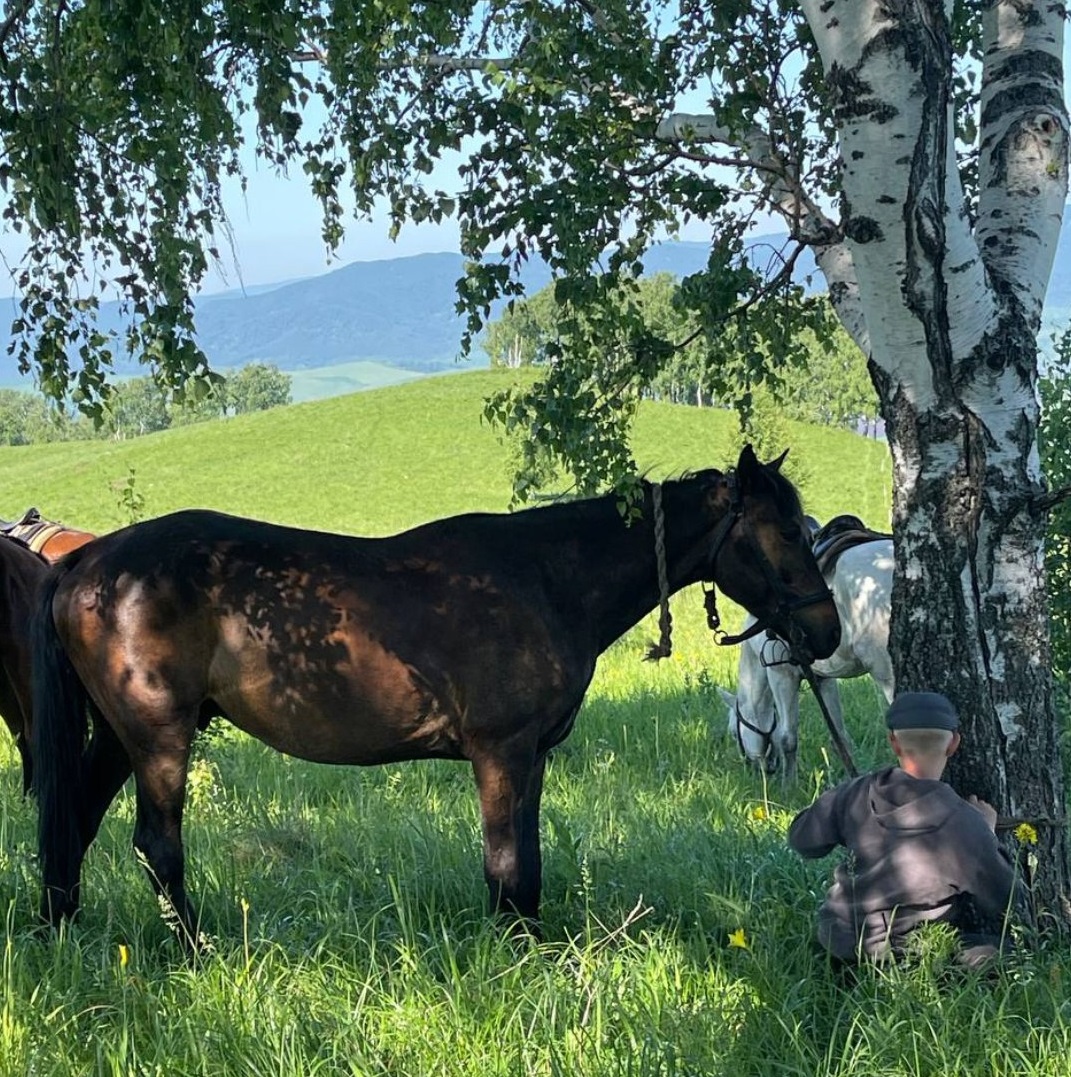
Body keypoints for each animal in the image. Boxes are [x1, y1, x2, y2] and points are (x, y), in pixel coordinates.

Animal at [31, 444, 841, 947]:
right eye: (785, 533)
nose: (825, 631)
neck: (544, 579)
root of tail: (85, 563)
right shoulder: (499, 752)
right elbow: (506, 864)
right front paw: (515, 956)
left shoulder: (531, 757)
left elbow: (527, 864)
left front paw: (528, 943)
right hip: (159, 740)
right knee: (156, 846)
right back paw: (198, 951)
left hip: (117, 739)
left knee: (76, 823)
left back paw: (58, 929)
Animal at [719, 535, 894, 785]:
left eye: (734, 733)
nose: (756, 772)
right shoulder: (824, 680)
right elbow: (839, 738)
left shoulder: (781, 675)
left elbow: (787, 738)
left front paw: (788, 785)